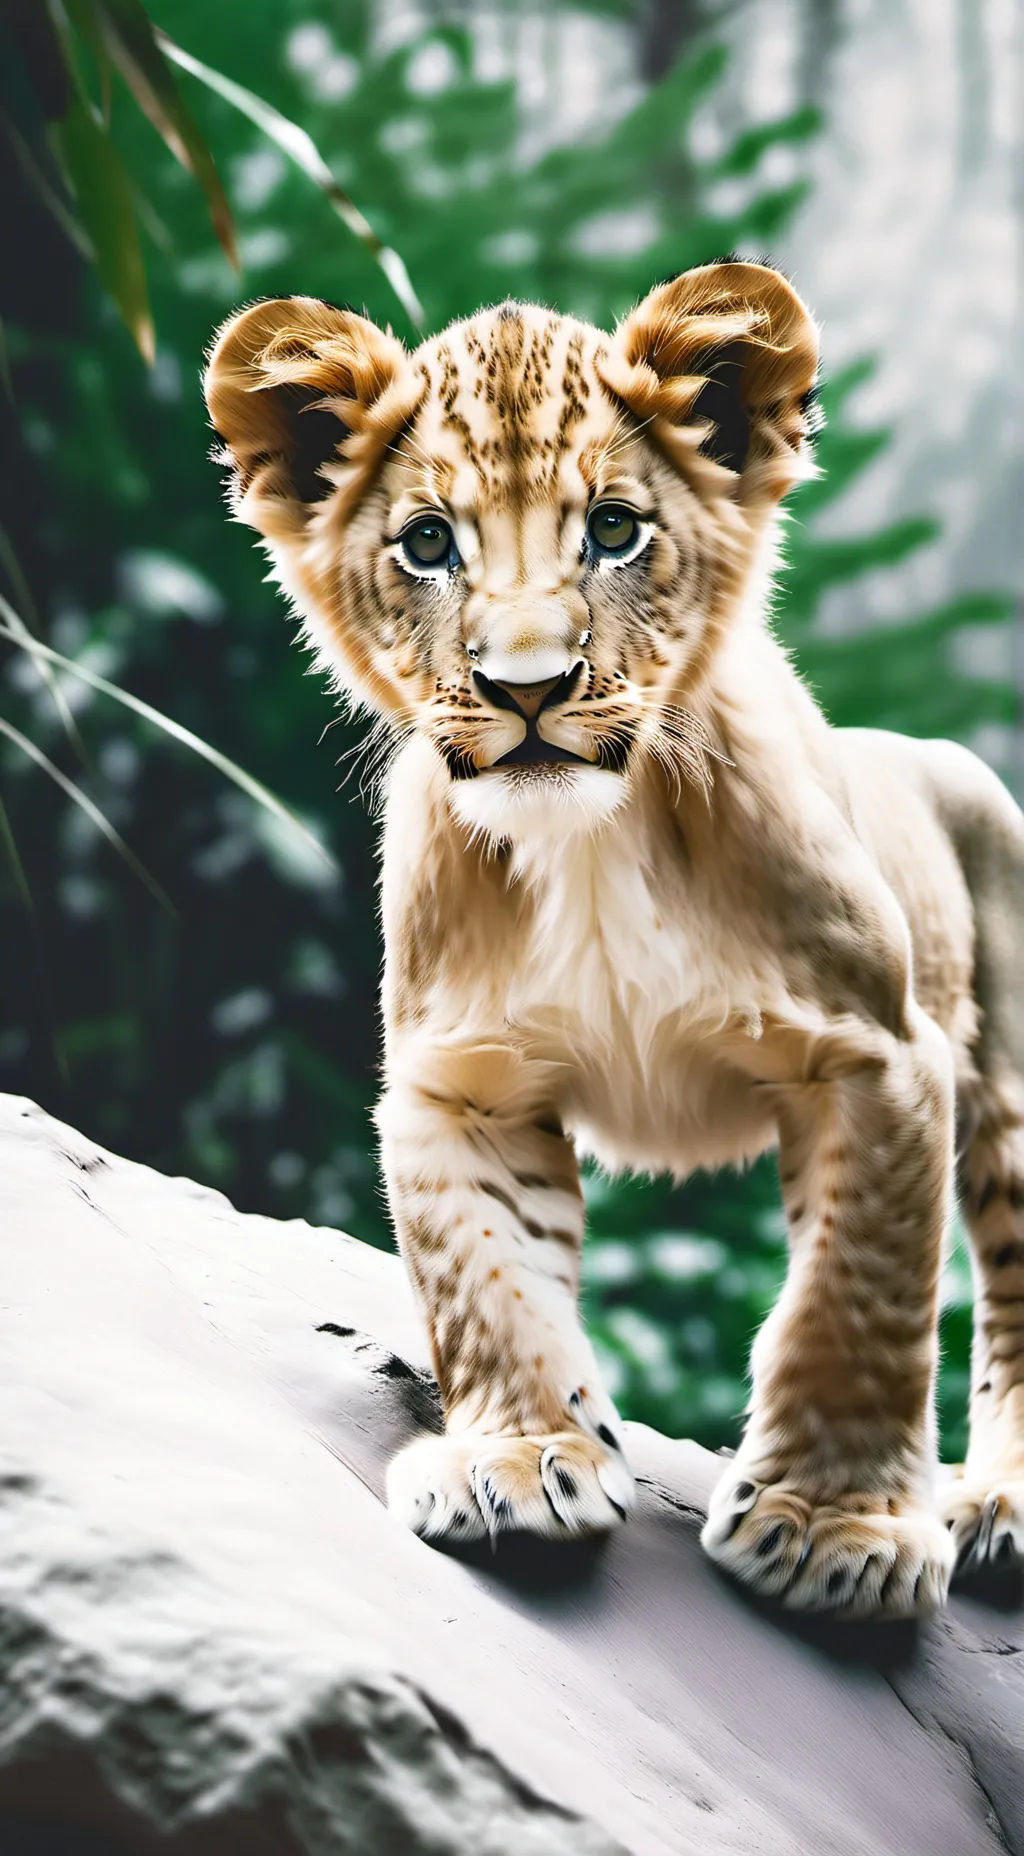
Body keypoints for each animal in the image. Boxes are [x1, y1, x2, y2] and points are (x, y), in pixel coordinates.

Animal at [204, 262, 1024, 1618]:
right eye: (428, 543)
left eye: (614, 529)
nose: (530, 685)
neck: (588, 842)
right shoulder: (459, 1081)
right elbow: (484, 1276)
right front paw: (522, 1460)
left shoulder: (876, 1058)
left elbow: (857, 1296)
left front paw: (831, 1530)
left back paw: (994, 1504)